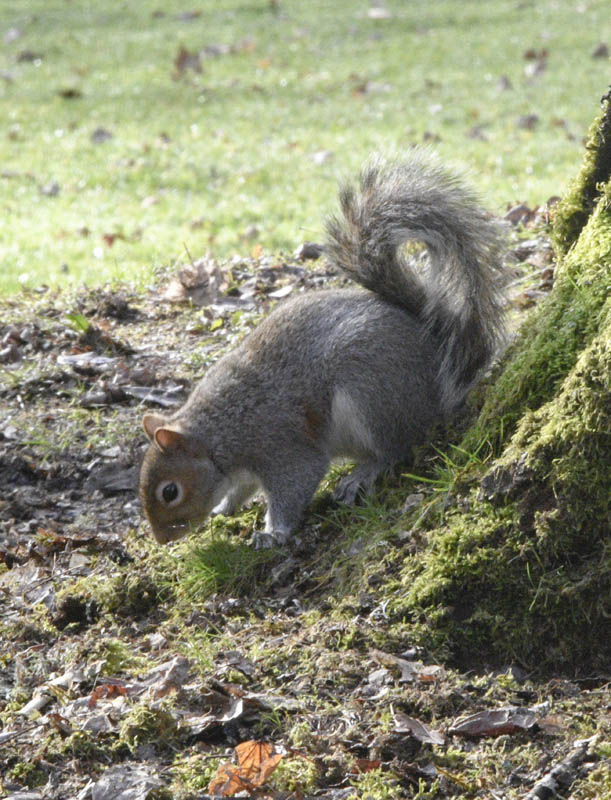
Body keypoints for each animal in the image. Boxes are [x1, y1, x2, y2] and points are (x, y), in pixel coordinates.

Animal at [139, 152, 506, 548]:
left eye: (170, 492)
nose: (162, 540)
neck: (217, 433)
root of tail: (437, 366)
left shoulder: (277, 443)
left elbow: (297, 481)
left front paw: (274, 533)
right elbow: (241, 488)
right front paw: (225, 507)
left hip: (372, 393)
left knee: (399, 446)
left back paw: (364, 472)